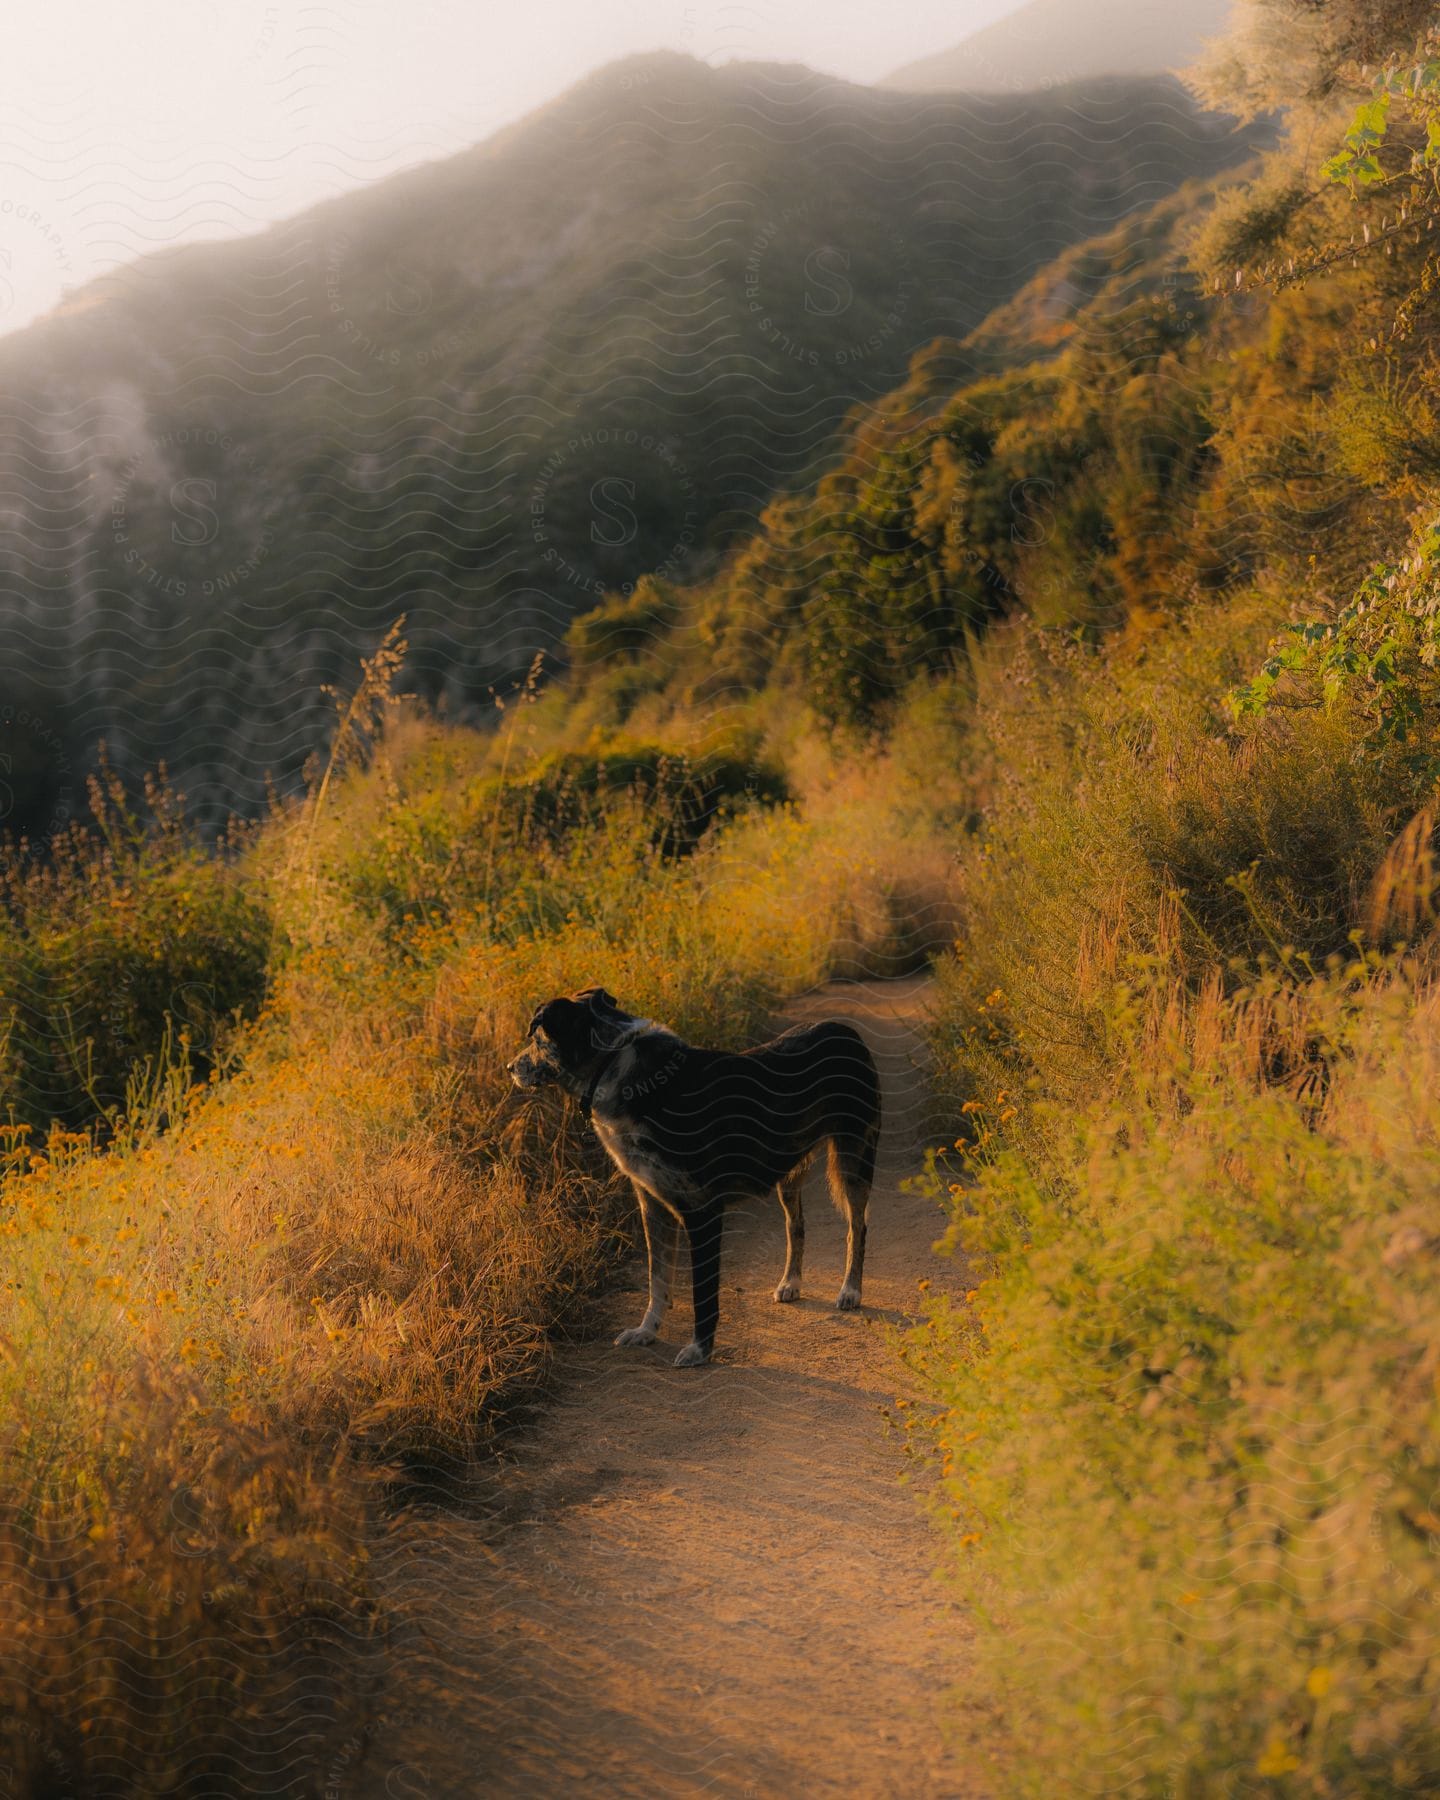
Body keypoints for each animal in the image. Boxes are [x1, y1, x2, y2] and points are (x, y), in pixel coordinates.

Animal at [511, 986, 882, 1360]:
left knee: (858, 1226)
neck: (613, 1065)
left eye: (537, 1037)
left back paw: (850, 1290)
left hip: (855, 1158)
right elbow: (657, 1279)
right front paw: (647, 1331)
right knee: (796, 1225)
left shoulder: (702, 1209)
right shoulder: (652, 1205)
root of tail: (845, 1030)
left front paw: (699, 1350)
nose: (512, 1067)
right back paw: (790, 1283)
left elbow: (702, 1292)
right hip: (788, 1171)